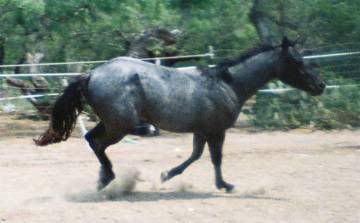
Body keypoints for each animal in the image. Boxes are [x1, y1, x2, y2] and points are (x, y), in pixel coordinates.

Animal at [35, 37, 324, 193]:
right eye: (297, 62)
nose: (320, 85)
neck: (227, 85)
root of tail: (91, 74)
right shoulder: (217, 131)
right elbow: (215, 158)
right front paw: (225, 185)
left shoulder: (201, 130)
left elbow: (196, 155)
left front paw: (168, 175)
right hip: (119, 124)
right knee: (100, 141)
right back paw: (119, 164)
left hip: (110, 122)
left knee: (92, 140)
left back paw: (104, 180)